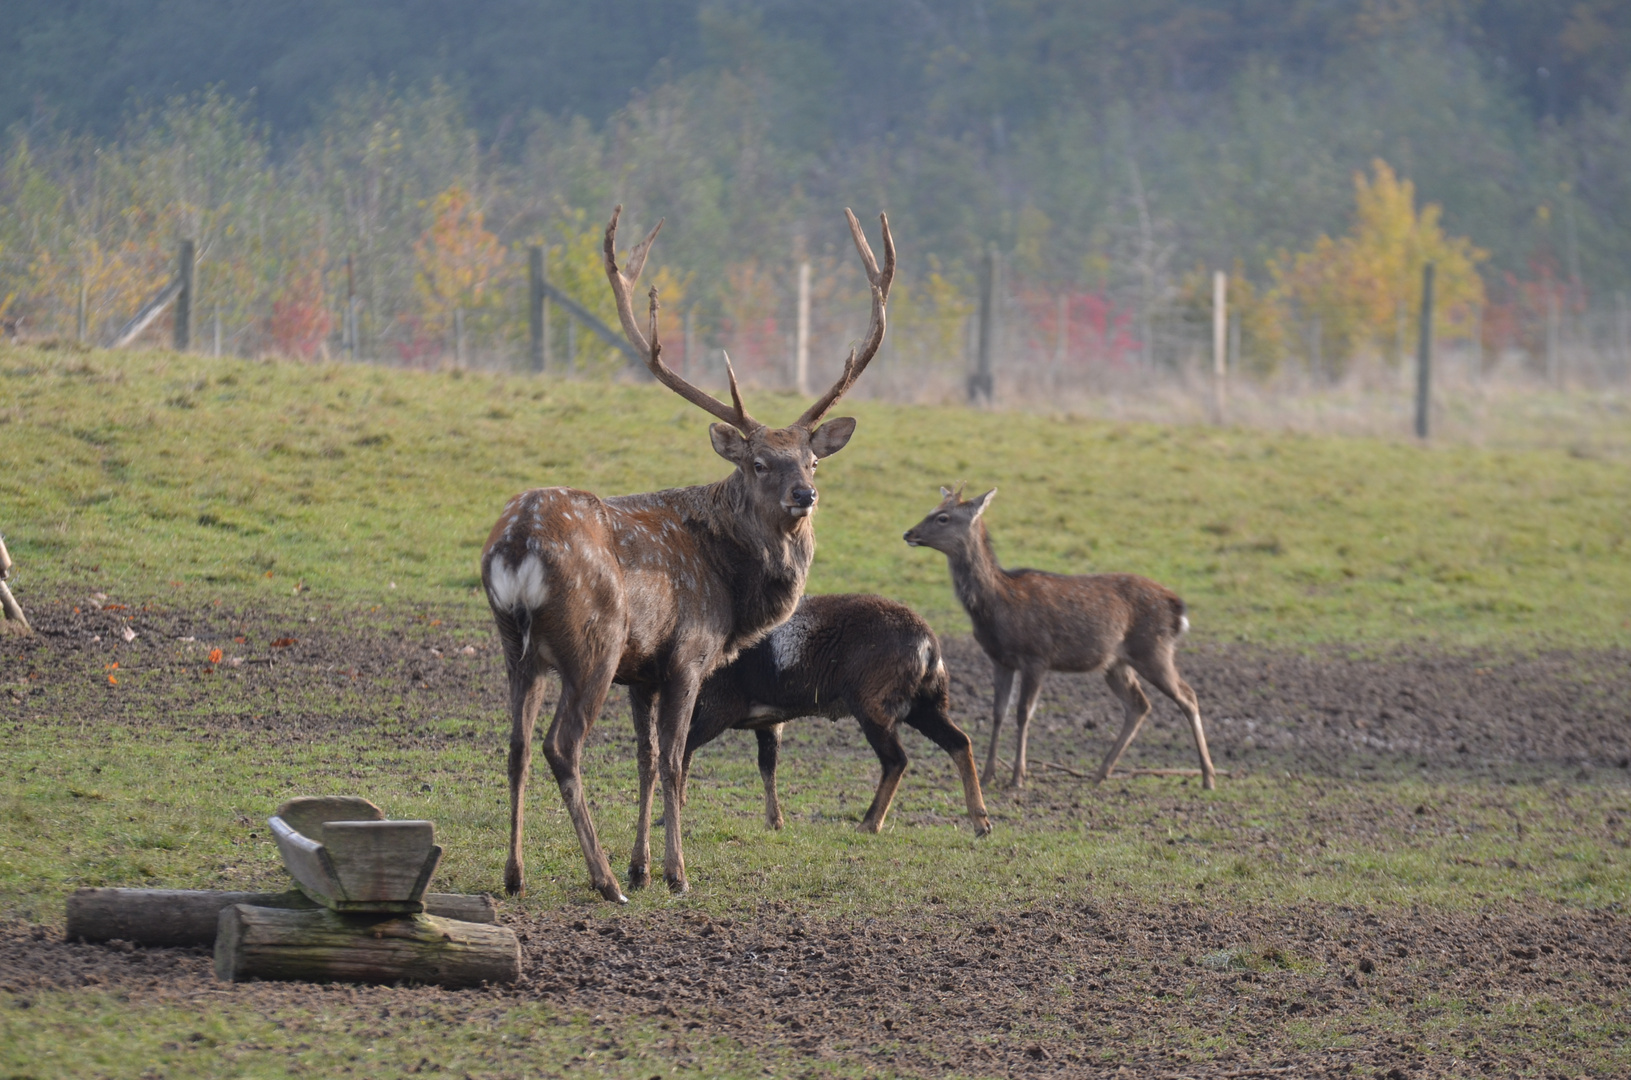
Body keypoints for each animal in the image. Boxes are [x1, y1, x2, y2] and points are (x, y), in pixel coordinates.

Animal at [476, 207, 900, 900]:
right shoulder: (687, 654)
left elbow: (646, 761)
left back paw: (515, 876)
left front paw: (643, 864)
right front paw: (674, 873)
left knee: (513, 746)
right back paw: (602, 882)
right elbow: (675, 761)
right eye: (759, 463)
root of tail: (516, 544)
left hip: (515, 643)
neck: (733, 591)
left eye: (811, 460)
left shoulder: (643, 672)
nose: (805, 495)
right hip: (592, 642)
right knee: (561, 747)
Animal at [678, 593, 991, 835]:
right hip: (924, 709)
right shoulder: (769, 723)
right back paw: (981, 823)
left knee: (896, 761)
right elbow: (767, 767)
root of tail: (928, 645)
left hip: (874, 711)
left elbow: (684, 751)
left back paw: (868, 824)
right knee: (959, 743)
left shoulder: (719, 710)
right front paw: (774, 822)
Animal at [900, 489, 1219, 796]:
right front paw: (989, 774)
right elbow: (998, 713)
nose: (909, 533)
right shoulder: (1000, 659)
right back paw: (1100, 774)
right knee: (1139, 705)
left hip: (1153, 650)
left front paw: (1018, 776)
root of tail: (1177, 607)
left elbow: (1023, 713)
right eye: (933, 509)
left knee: (1188, 696)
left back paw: (1208, 777)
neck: (996, 606)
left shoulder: (1037, 657)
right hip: (1116, 664)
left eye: (943, 517)